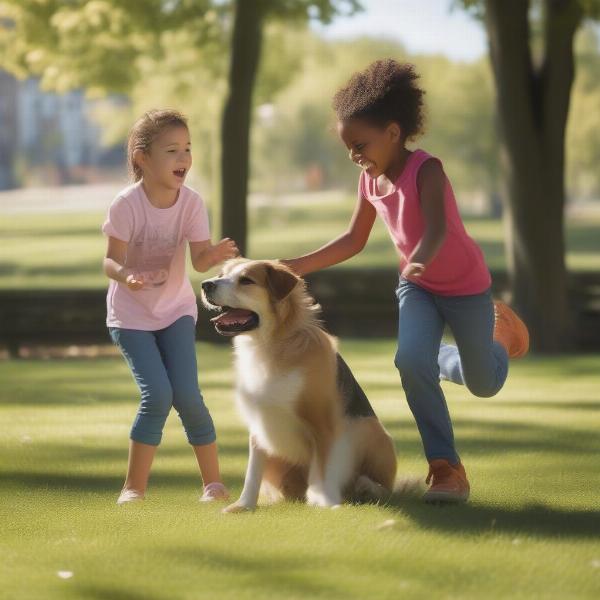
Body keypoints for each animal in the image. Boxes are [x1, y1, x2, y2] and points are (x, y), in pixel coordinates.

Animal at [202, 258, 398, 510]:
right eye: (221, 275)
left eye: (246, 280)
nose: (206, 285)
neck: (274, 344)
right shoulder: (259, 424)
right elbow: (252, 471)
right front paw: (244, 505)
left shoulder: (322, 424)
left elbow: (322, 470)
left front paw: (324, 502)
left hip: (369, 430)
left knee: (381, 487)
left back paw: (366, 488)